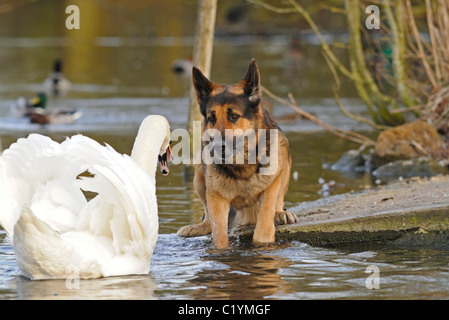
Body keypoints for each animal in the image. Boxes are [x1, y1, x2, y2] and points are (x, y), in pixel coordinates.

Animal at [177, 60, 296, 250]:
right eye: (211, 118)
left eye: (234, 116)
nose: (218, 147)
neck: (242, 165)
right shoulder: (216, 198)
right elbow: (219, 235)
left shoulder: (271, 186)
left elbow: (263, 228)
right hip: (199, 175)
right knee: (208, 220)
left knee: (278, 203)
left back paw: (280, 214)